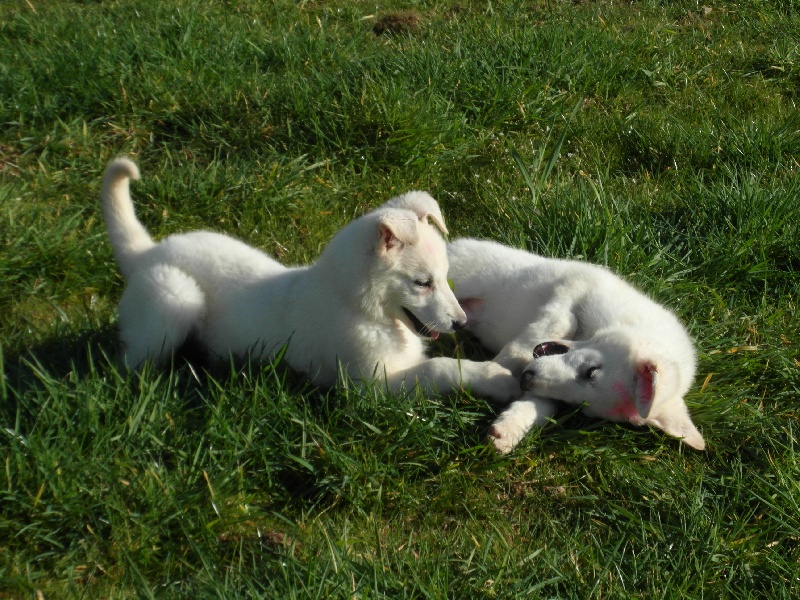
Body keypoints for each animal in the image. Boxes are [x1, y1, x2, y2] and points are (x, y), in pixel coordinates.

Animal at [101, 158, 520, 404]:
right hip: (175, 302)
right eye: (422, 283)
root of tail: (146, 253)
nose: (461, 323)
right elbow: (441, 367)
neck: (359, 307)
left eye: (445, 278)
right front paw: (497, 379)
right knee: (128, 363)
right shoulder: (369, 386)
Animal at [450, 237, 708, 452]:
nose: (525, 380)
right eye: (591, 371)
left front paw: (509, 429)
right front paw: (490, 373)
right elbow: (549, 328)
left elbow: (540, 405)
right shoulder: (572, 287)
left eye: (577, 406)